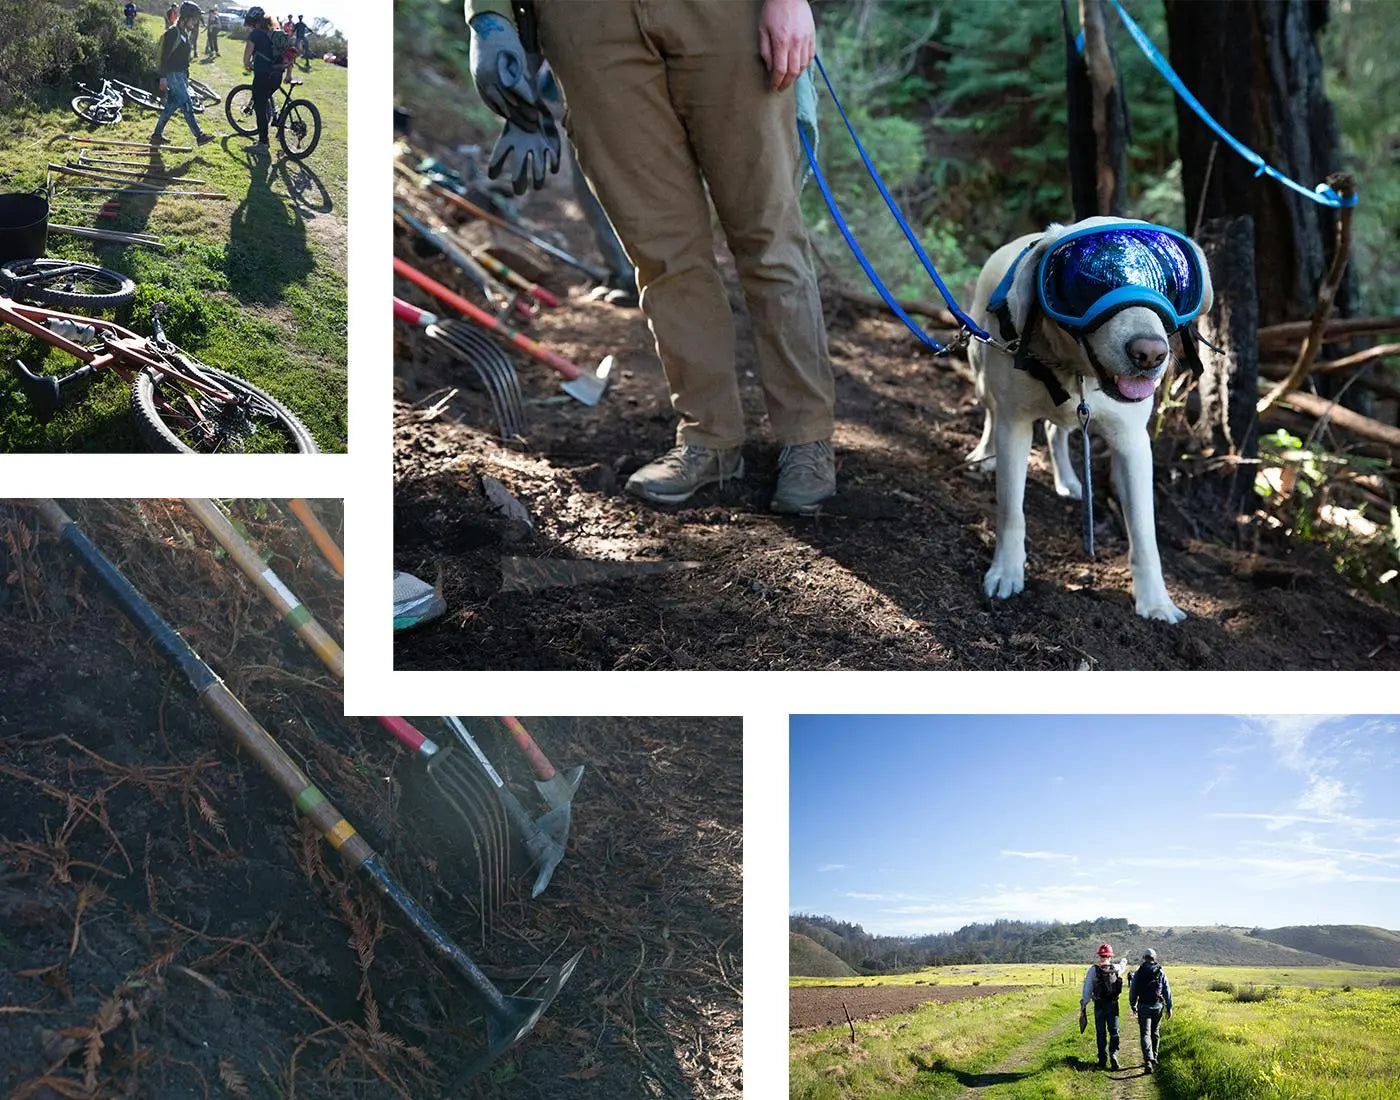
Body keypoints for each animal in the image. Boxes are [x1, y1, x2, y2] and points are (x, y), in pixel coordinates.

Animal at [963, 218, 1215, 621]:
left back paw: (1068, 481)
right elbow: (1011, 510)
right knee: (989, 411)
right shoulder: (1014, 426)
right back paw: (983, 455)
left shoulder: (1132, 444)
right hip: (980, 370)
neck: (1076, 369)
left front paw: (1156, 601)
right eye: (1088, 282)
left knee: (1055, 431)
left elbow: (1144, 532)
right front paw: (1006, 572)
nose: (1150, 354)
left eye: (1171, 284)